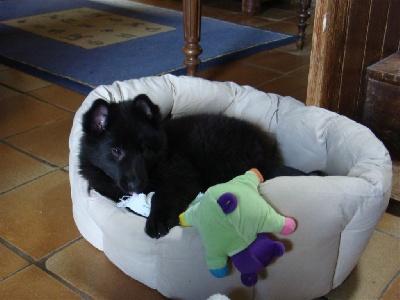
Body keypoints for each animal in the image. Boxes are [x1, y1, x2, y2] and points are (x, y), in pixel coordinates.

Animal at [79, 95, 308, 238]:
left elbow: (162, 196)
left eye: (145, 149)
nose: (136, 185)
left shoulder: (181, 176)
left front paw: (157, 221)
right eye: (116, 151)